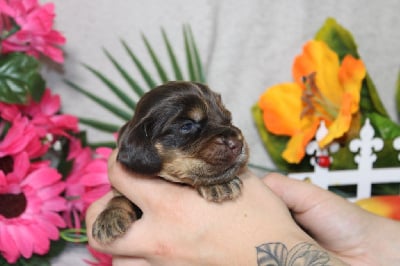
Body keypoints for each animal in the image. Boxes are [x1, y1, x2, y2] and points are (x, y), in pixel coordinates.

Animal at [92, 81, 248, 243]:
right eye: (187, 126)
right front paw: (109, 217)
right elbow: (119, 197)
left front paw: (221, 184)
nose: (238, 143)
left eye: (228, 117)